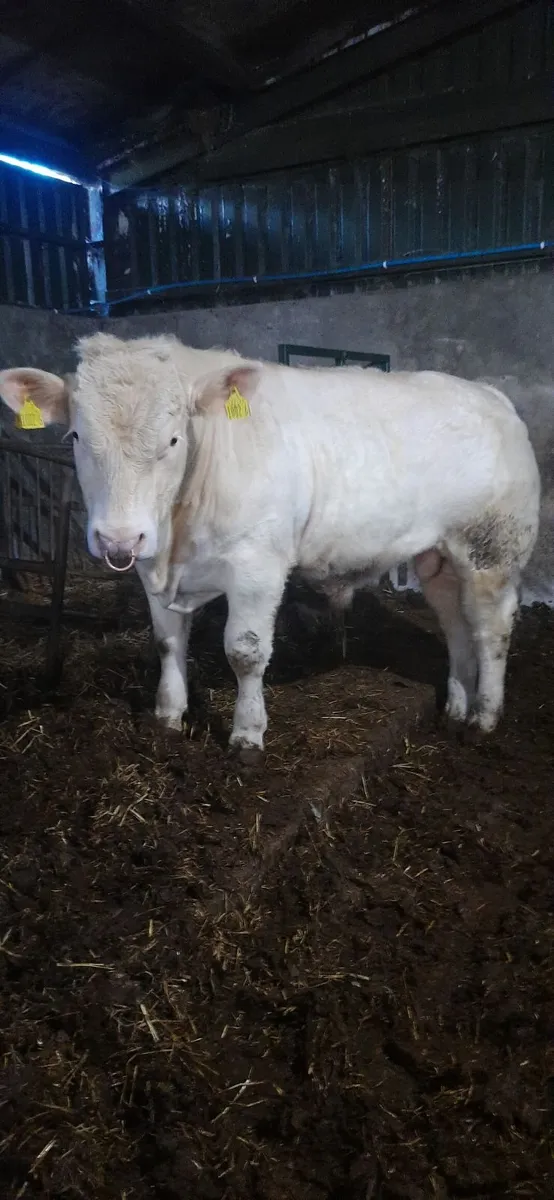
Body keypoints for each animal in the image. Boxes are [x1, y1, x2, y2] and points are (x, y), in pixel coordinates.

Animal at [0, 333, 540, 758]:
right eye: (74, 436)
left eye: (173, 440)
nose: (117, 537)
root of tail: (492, 396)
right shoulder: (151, 567)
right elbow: (167, 642)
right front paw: (168, 719)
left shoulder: (256, 565)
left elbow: (244, 651)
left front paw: (247, 737)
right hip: (438, 555)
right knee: (455, 623)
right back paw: (455, 708)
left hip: (492, 547)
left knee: (491, 629)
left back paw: (483, 719)